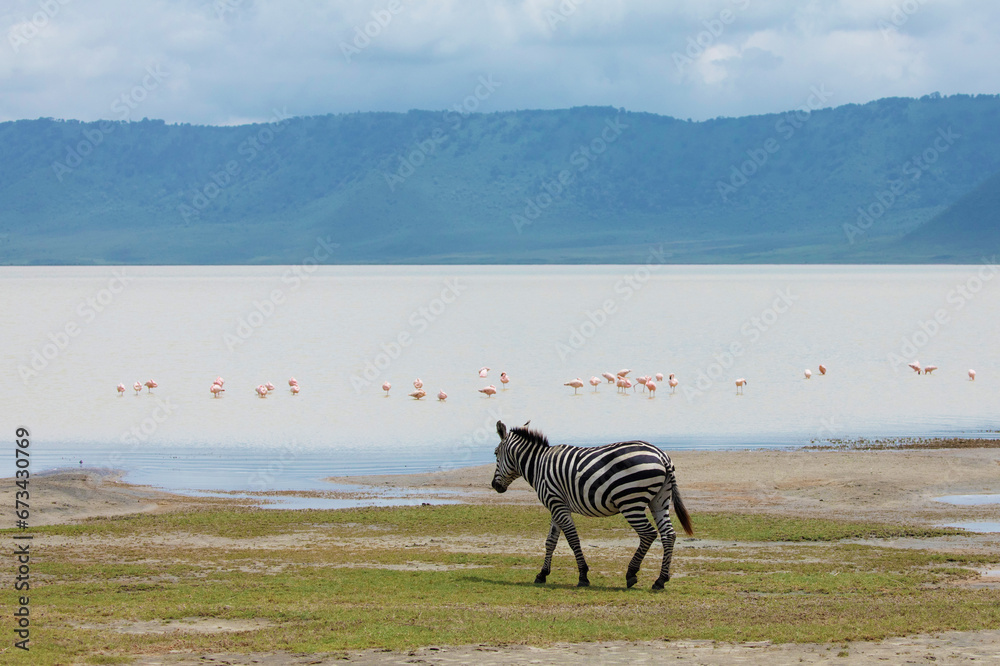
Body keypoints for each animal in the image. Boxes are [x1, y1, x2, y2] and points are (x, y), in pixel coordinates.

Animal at [491, 420, 694, 590]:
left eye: (495, 454)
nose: (494, 486)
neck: (538, 464)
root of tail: (661, 455)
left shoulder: (556, 503)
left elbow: (572, 539)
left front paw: (583, 576)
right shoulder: (556, 505)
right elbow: (551, 541)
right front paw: (542, 574)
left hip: (630, 502)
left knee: (648, 533)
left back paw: (631, 574)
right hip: (659, 500)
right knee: (669, 534)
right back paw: (660, 580)